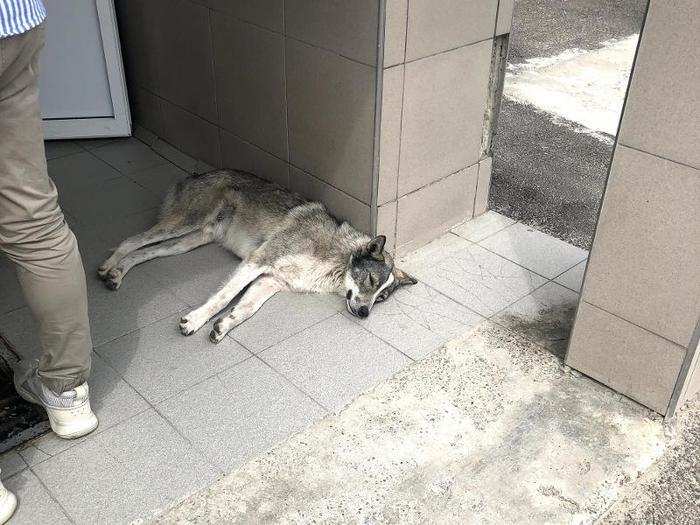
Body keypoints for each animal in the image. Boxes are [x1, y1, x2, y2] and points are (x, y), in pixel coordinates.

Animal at [98, 169, 416, 344]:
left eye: (381, 298)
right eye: (371, 280)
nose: (364, 314)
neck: (335, 258)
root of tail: (197, 174)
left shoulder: (270, 281)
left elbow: (247, 308)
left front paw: (224, 326)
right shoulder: (257, 260)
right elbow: (223, 297)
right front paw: (196, 320)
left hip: (186, 243)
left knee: (145, 252)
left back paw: (117, 274)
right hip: (183, 223)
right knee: (131, 240)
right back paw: (107, 266)